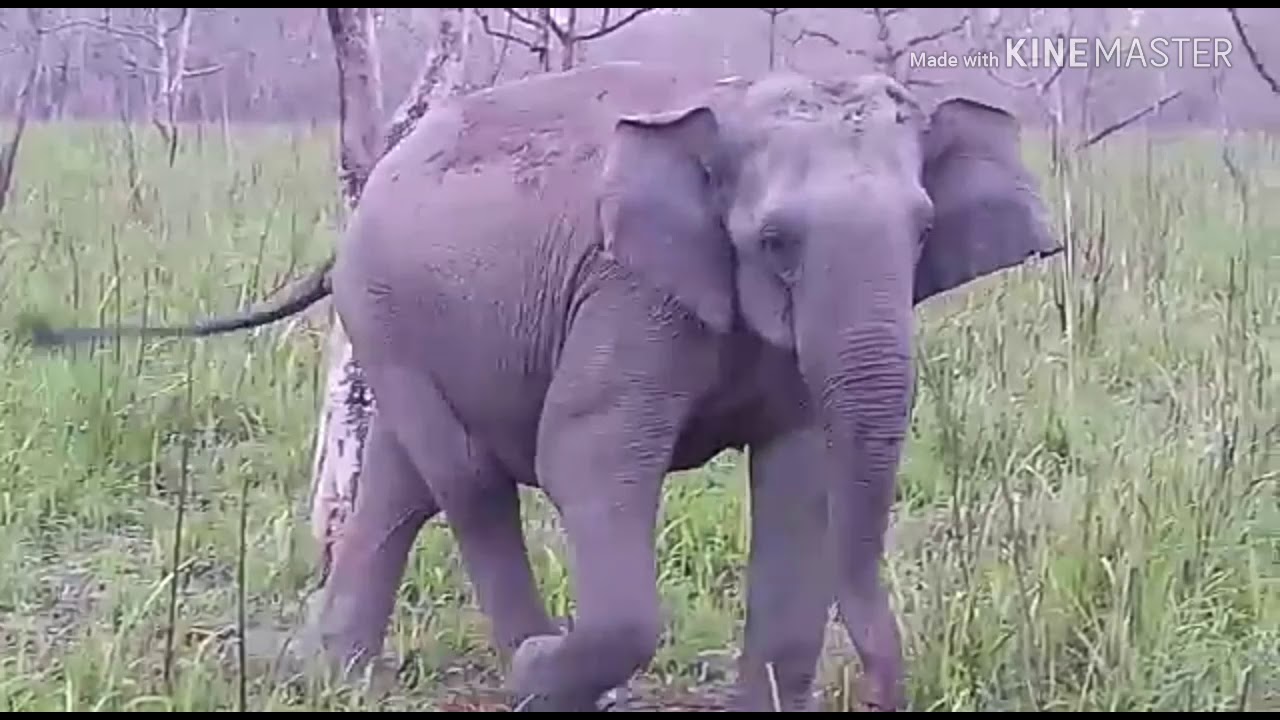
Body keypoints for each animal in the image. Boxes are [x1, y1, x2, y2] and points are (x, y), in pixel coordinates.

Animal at [25, 61, 1061, 711]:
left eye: (923, 232)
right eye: (774, 241)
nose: (891, 692)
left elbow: (800, 473)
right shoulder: (631, 293)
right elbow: (584, 453)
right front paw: (551, 668)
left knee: (406, 485)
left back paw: (331, 676)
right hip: (384, 308)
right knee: (468, 480)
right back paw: (526, 666)